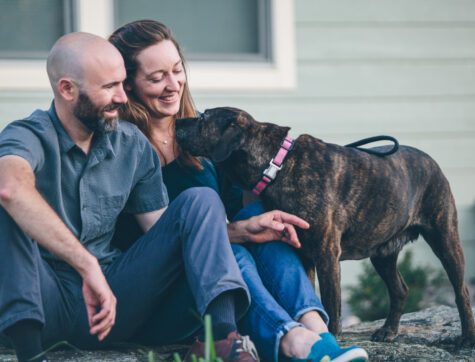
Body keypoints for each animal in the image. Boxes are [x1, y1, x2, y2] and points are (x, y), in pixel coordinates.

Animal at [176, 107, 475, 346]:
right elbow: (313, 295)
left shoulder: (326, 254)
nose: (177, 122)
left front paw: (331, 335)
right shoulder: (304, 253)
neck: (277, 165)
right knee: (399, 289)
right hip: (382, 252)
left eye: (202, 118)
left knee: (461, 291)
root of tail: (431, 161)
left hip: (444, 237)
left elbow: (332, 303)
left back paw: (466, 338)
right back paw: (389, 330)